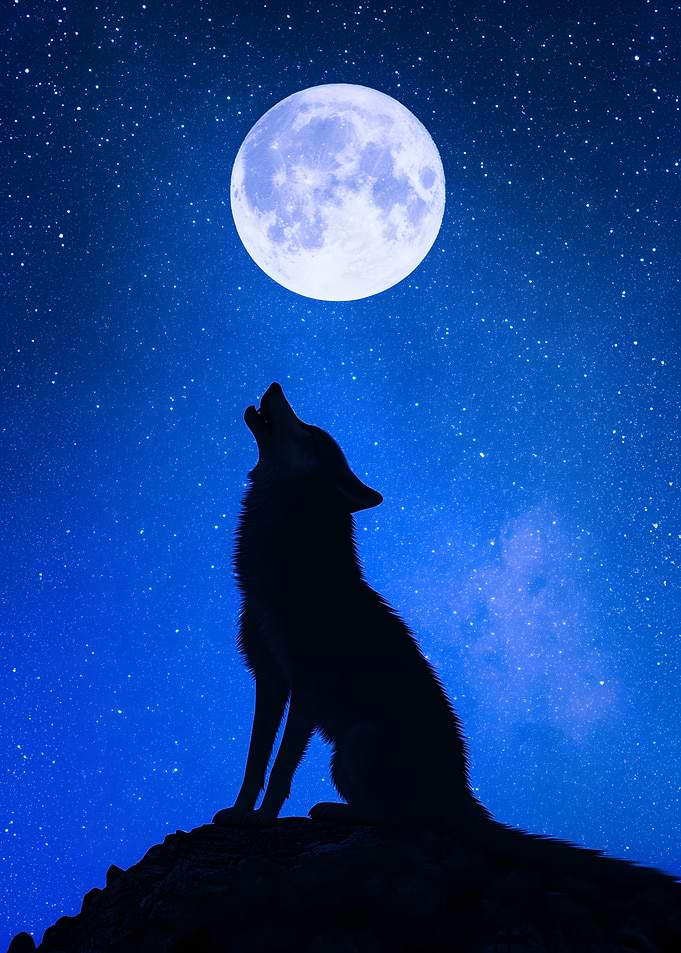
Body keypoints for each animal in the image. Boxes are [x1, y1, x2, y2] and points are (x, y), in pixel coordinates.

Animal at [213, 382, 675, 884]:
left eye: (312, 433)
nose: (275, 386)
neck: (278, 561)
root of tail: (466, 800)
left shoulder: (308, 688)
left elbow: (280, 767)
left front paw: (264, 819)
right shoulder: (269, 681)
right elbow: (254, 761)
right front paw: (239, 814)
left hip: (358, 740)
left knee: (402, 820)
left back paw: (336, 812)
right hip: (343, 757)